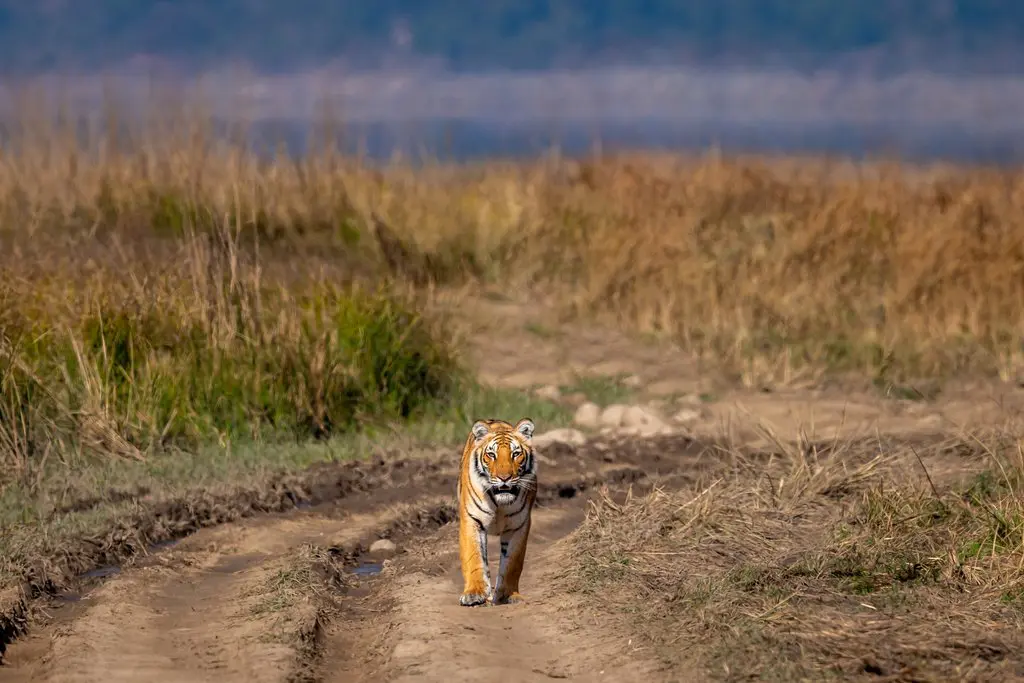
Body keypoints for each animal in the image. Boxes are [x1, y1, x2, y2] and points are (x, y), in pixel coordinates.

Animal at [456, 417, 537, 607]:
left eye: (515, 454)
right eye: (491, 455)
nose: (504, 478)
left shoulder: (518, 525)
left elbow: (512, 563)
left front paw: (509, 595)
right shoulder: (472, 521)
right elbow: (474, 557)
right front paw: (474, 594)